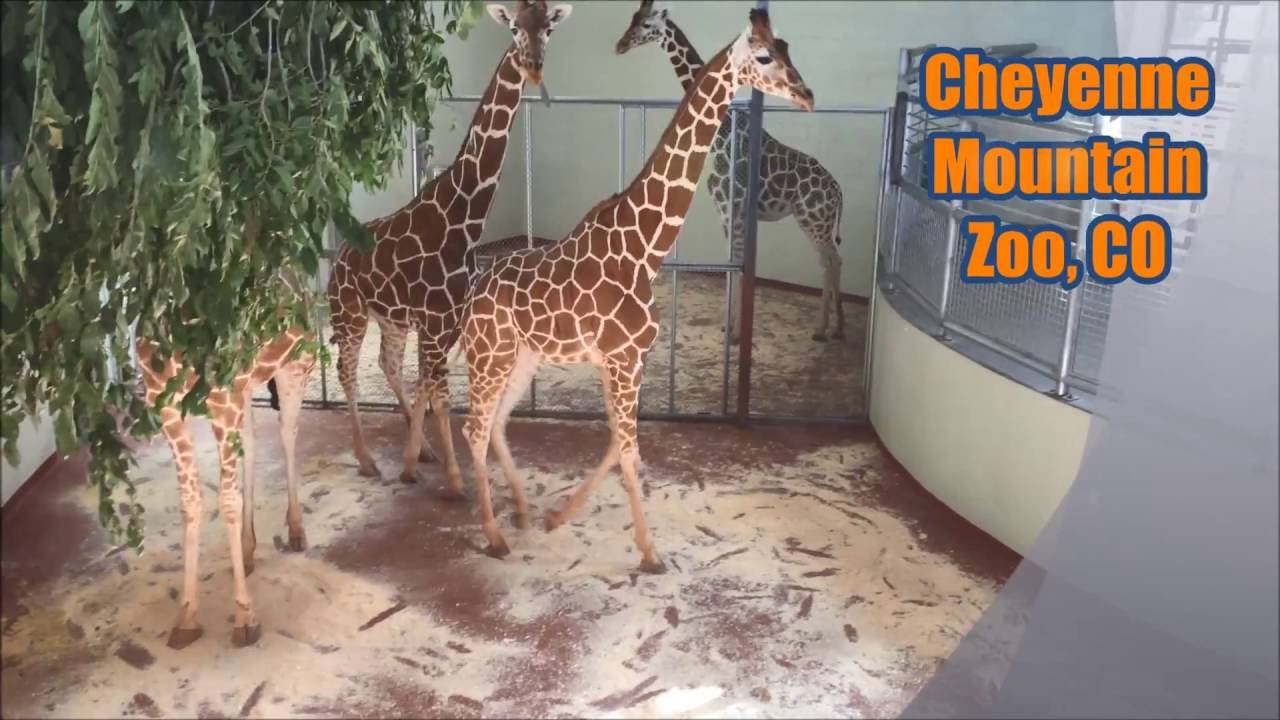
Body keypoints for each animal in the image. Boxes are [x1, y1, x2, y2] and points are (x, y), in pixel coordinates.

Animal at [137, 322, 315, 649]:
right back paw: (246, 550)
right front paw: (186, 617)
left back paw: (296, 531)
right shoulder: (167, 406)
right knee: (252, 438)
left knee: (287, 431)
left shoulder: (223, 403)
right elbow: (190, 501)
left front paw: (245, 618)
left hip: (296, 362)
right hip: (246, 387)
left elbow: (229, 500)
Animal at [326, 1, 573, 492]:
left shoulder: (445, 321)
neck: (465, 217)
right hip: (349, 312)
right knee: (348, 371)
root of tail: (338, 258)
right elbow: (439, 392)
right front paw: (456, 479)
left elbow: (432, 386)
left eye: (548, 28)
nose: (533, 64)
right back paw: (367, 460)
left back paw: (421, 450)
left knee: (388, 365)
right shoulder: (436, 321)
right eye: (514, 27)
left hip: (391, 320)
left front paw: (421, 461)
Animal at [458, 8, 814, 572]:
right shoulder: (624, 360)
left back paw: (521, 511)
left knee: (495, 423)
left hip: (522, 357)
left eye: (786, 47)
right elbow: (629, 452)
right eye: (763, 57)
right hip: (489, 356)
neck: (645, 248)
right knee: (473, 428)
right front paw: (650, 553)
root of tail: (473, 295)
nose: (807, 94)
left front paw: (558, 517)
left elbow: (616, 445)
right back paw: (494, 536)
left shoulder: (626, 360)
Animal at [616, 0, 847, 342]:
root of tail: (838, 191)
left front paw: (735, 332)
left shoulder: (731, 206)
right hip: (818, 221)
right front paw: (731, 326)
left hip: (813, 219)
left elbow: (735, 264)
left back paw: (822, 329)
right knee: (834, 260)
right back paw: (838, 327)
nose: (620, 45)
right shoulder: (725, 210)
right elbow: (732, 263)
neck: (722, 136)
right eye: (632, 17)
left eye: (647, 24)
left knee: (829, 262)